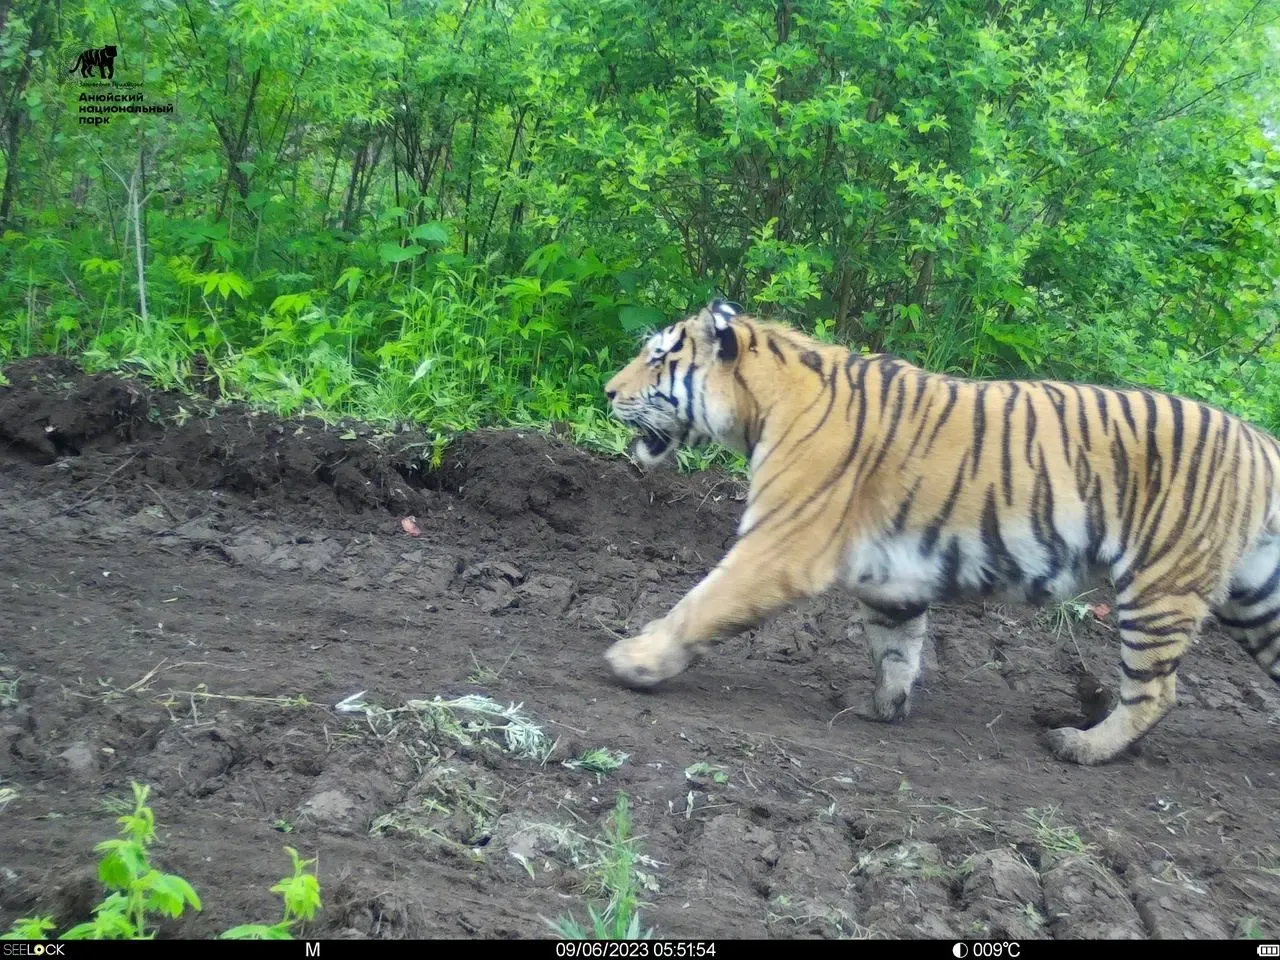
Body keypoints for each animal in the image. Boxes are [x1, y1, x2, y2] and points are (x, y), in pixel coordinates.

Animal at [604, 300, 1280, 768]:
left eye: (658, 358)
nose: (608, 391)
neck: (757, 408)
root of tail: (1259, 440)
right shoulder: (891, 577)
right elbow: (895, 648)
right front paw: (882, 709)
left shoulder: (779, 546)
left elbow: (699, 605)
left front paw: (634, 660)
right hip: (1256, 599)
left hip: (1160, 585)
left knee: (1155, 691)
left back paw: (1081, 745)